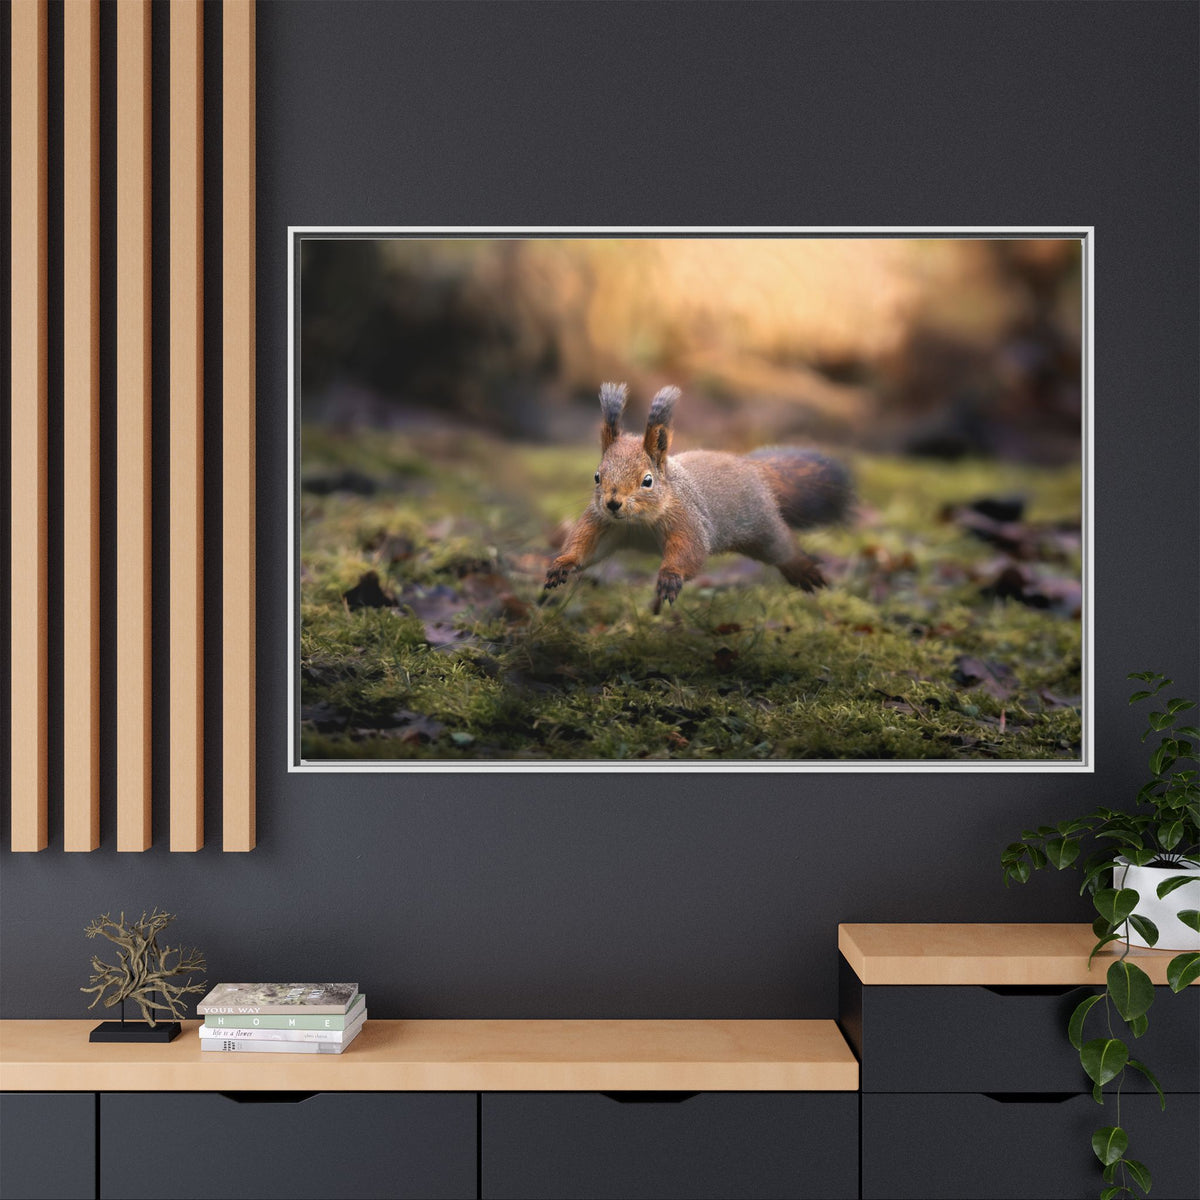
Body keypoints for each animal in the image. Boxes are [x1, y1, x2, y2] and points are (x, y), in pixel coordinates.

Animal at [543, 382, 852, 613]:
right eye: (597, 476)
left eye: (647, 481)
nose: (612, 503)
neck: (637, 523)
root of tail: (752, 468)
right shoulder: (603, 524)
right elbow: (585, 546)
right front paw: (562, 564)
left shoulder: (686, 519)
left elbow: (689, 551)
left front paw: (670, 577)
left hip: (762, 525)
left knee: (783, 546)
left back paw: (804, 569)